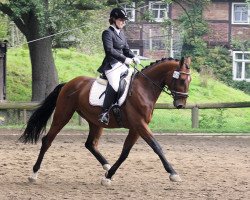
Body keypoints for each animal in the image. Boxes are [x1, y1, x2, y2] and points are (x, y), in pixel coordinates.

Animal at [19, 56, 191, 186]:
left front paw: (108, 176)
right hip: (63, 115)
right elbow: (156, 147)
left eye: (189, 80)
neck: (144, 89)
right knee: (47, 140)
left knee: (90, 144)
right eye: (182, 79)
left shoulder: (136, 128)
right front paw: (173, 173)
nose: (180, 105)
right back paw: (33, 174)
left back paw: (106, 166)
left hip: (96, 122)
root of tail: (68, 83)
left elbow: (125, 152)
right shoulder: (139, 125)